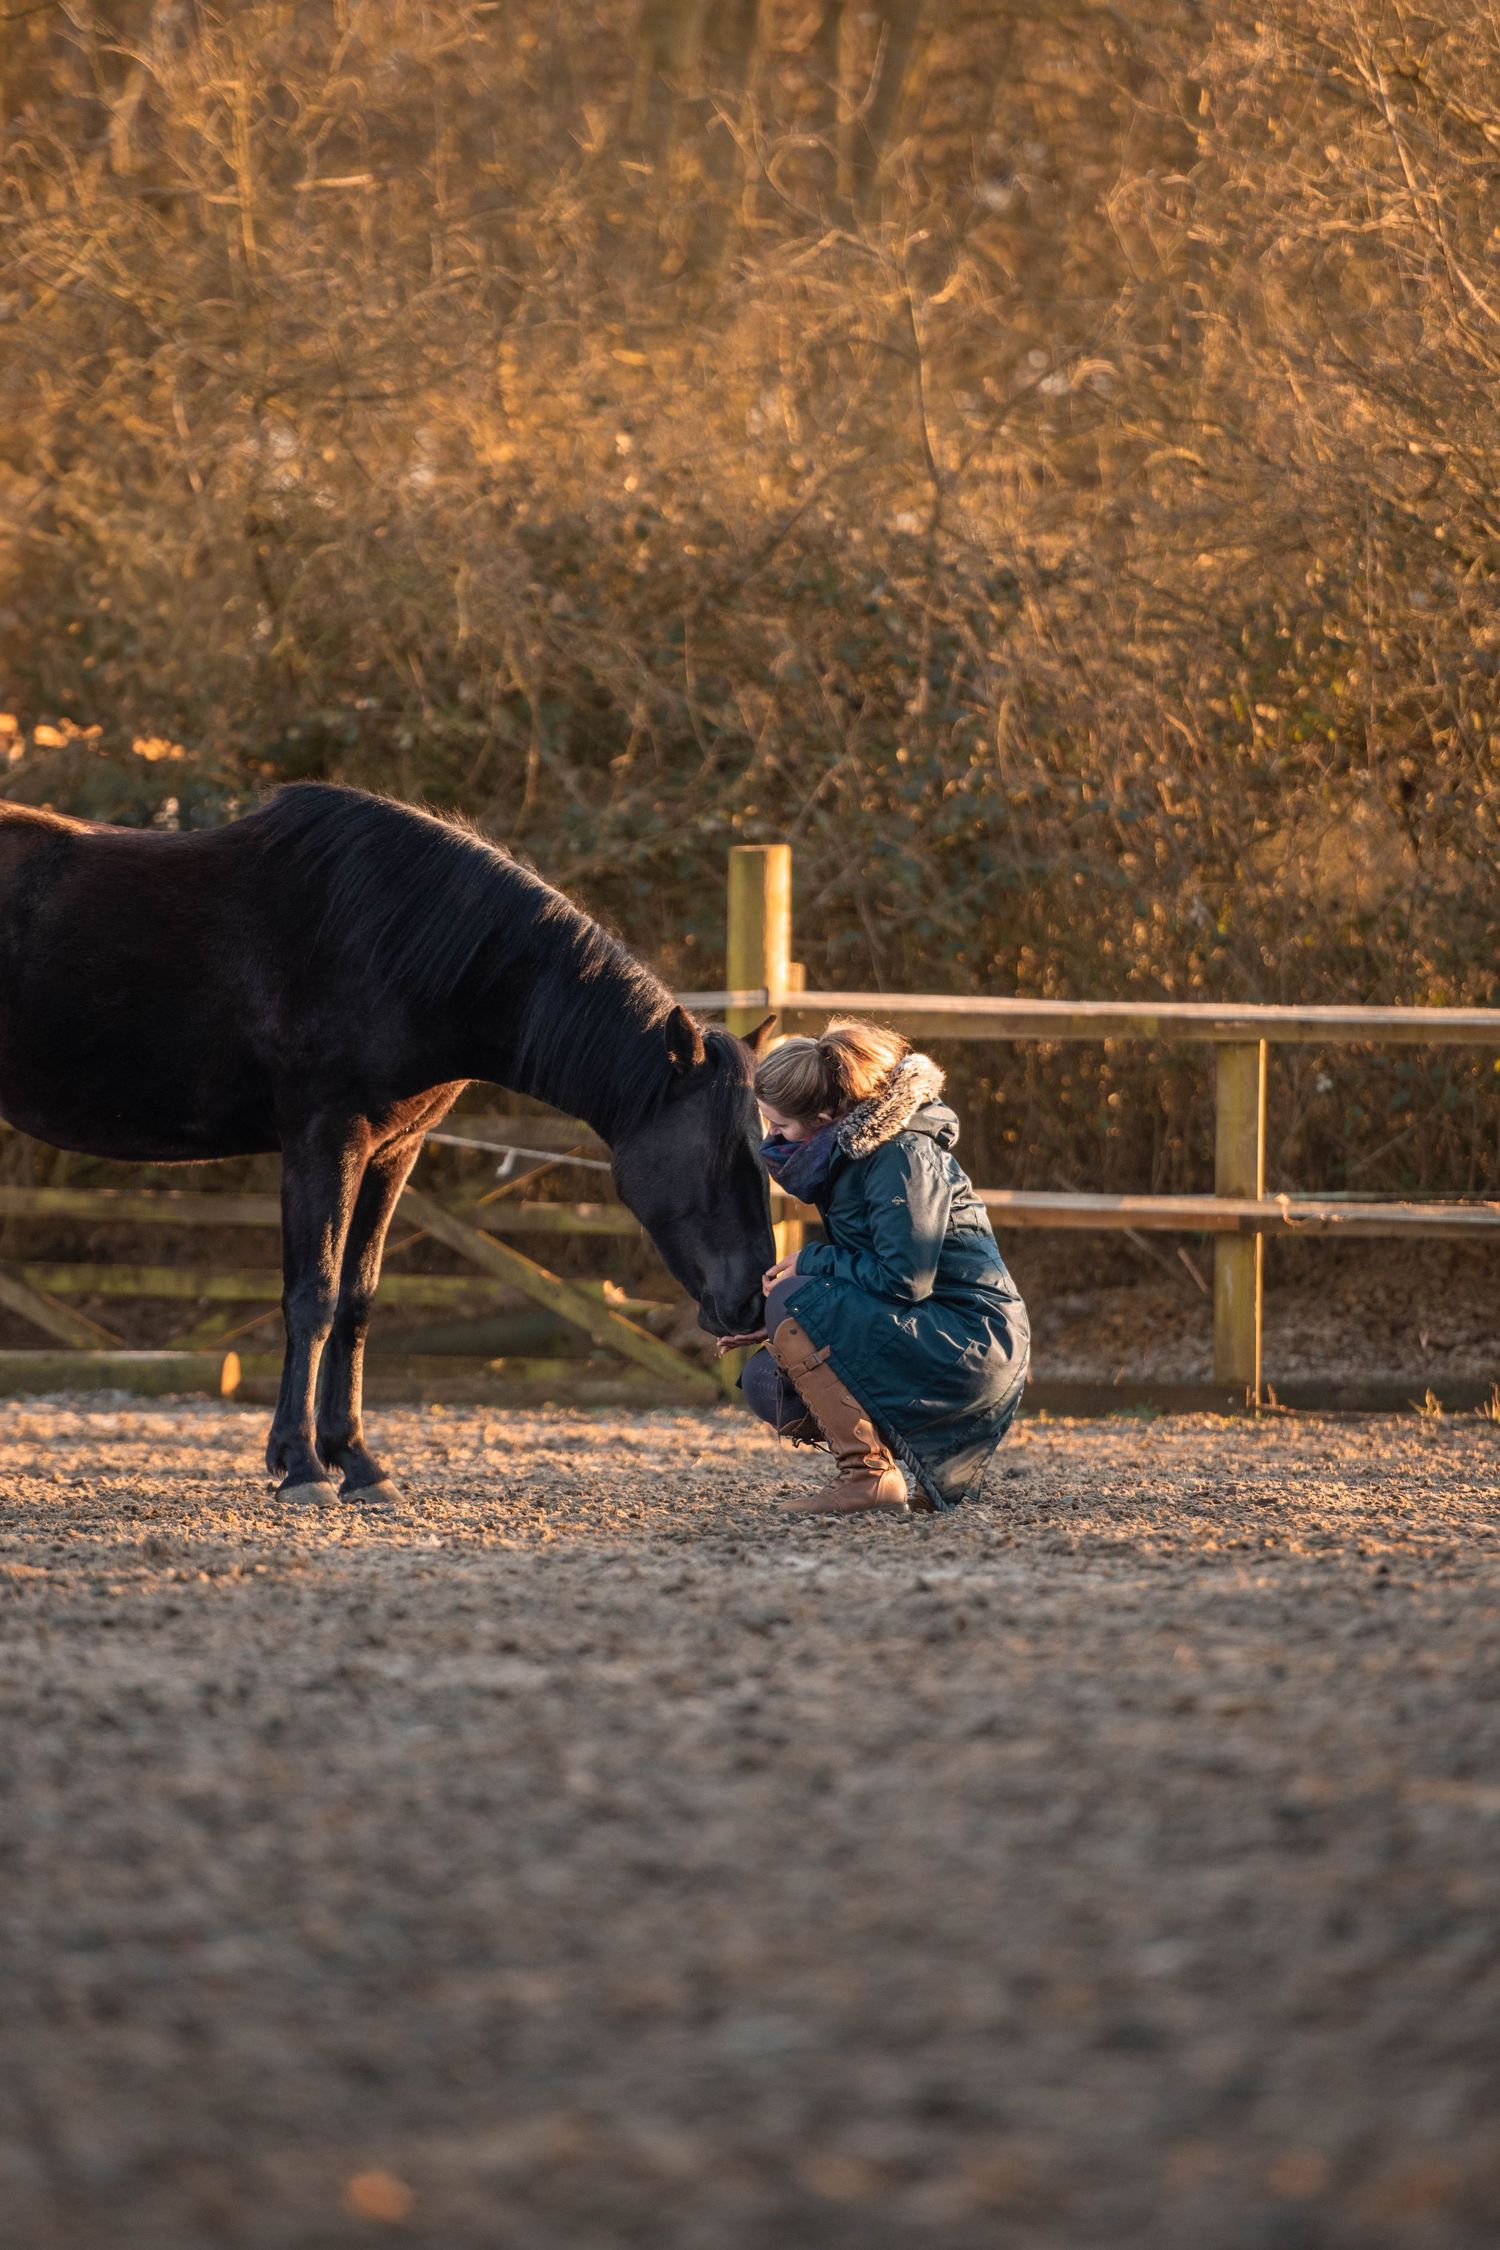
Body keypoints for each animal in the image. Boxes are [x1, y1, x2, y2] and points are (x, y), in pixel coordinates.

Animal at [0, 783, 777, 1501]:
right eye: (714, 1156)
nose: (751, 1301)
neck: (394, 949)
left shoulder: (392, 1152)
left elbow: (358, 1299)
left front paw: (357, 1461)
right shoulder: (323, 1140)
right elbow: (312, 1297)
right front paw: (301, 1466)